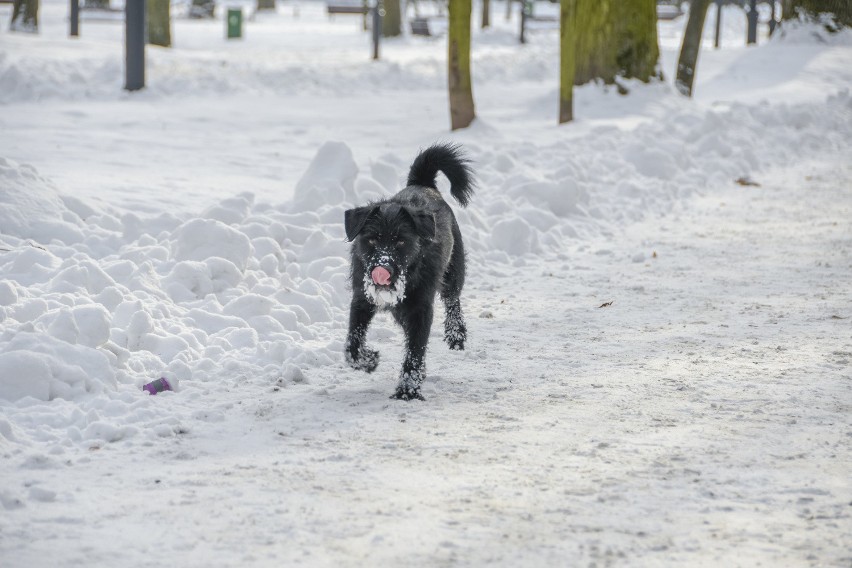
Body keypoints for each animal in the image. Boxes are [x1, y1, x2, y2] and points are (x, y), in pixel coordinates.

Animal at [344, 144, 476, 402]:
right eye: (372, 239)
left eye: (401, 242)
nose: (382, 269)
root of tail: (422, 184)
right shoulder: (361, 301)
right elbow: (352, 344)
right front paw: (368, 360)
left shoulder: (420, 311)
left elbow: (415, 350)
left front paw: (407, 389)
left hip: (453, 273)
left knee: (452, 300)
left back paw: (456, 334)